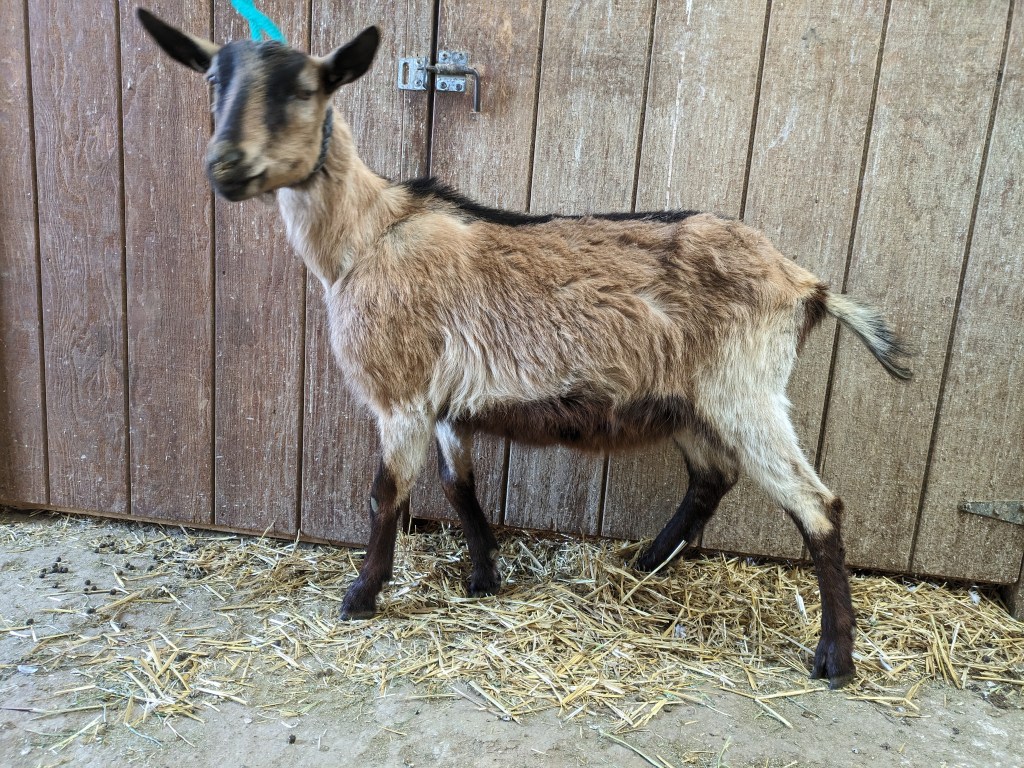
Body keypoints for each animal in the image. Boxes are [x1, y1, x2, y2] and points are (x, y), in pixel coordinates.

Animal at [137, 8, 912, 689]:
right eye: (213, 80)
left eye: (305, 88)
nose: (226, 166)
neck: (367, 237)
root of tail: (806, 284)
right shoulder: (446, 402)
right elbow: (460, 486)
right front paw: (484, 577)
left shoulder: (401, 393)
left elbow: (386, 494)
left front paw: (361, 596)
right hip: (692, 400)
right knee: (711, 477)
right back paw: (647, 564)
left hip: (744, 390)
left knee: (818, 505)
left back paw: (834, 658)